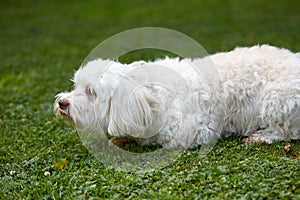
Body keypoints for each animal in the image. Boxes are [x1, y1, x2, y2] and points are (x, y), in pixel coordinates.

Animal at [54, 45, 300, 148]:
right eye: (76, 85)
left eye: (91, 92)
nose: (62, 103)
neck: (149, 100)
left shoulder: (198, 131)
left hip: (275, 101)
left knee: (287, 132)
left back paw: (259, 137)